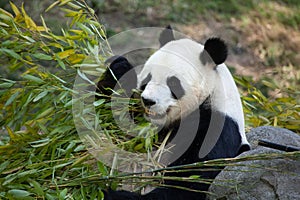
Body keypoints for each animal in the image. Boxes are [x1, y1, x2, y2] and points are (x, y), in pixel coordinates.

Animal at [98, 26, 251, 200]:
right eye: (147, 79)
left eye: (173, 83)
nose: (148, 101)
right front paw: (118, 67)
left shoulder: (218, 127)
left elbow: (189, 183)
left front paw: (112, 194)